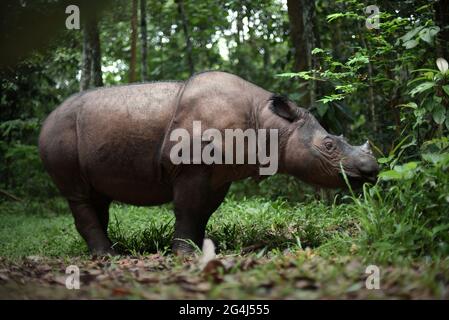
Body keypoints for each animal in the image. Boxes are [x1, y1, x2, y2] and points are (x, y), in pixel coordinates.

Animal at [39, 72, 378, 255]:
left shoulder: (220, 173)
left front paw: (199, 248)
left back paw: (106, 250)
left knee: (97, 195)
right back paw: (107, 256)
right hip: (59, 134)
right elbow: (189, 208)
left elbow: (202, 211)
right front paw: (184, 254)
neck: (269, 124)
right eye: (329, 146)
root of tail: (45, 122)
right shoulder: (192, 167)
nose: (372, 170)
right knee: (78, 194)